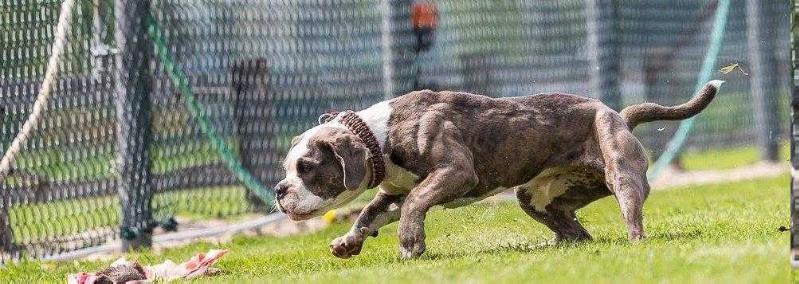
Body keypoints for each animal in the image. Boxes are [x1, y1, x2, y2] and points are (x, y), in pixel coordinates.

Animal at [274, 80, 724, 260]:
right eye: (287, 167)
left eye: (307, 167)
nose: (279, 190)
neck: (378, 137)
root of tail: (619, 114)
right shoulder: (393, 190)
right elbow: (371, 212)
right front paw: (348, 241)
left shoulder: (455, 173)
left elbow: (415, 204)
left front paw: (410, 244)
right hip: (536, 197)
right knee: (576, 232)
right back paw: (553, 246)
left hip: (621, 172)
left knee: (630, 214)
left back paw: (634, 242)